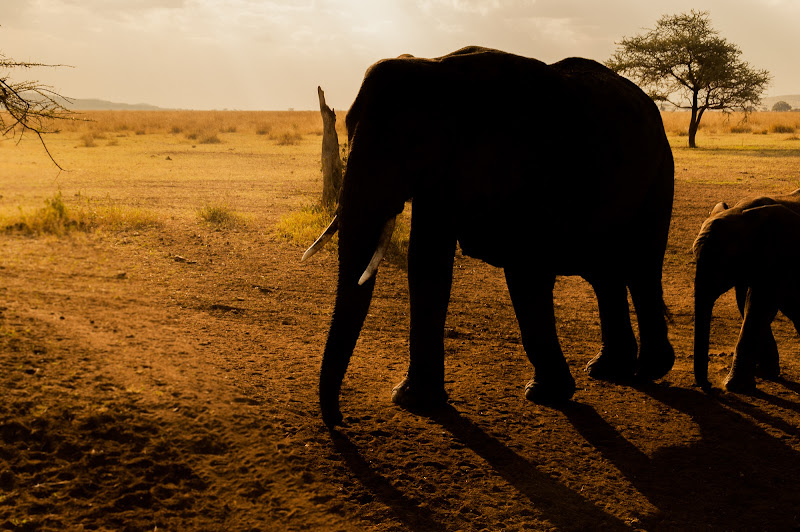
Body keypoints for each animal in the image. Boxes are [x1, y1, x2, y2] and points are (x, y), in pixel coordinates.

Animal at [304, 46, 676, 428]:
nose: (341, 420)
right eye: (348, 127)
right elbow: (427, 264)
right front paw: (414, 401)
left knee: (642, 267)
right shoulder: (445, 173)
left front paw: (544, 395)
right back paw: (607, 370)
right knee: (605, 274)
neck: (437, 69)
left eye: (412, 142)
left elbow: (526, 271)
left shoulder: (527, 163)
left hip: (660, 171)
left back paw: (649, 371)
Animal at [696, 189, 800, 388]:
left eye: (722, 263)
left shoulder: (779, 256)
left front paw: (735, 386)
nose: (709, 385)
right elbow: (746, 302)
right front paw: (766, 374)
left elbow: (758, 305)